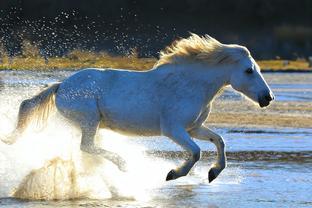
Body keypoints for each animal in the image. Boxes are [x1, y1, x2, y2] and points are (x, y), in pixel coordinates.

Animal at [1, 33, 272, 182]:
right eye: (249, 70)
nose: (267, 98)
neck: (189, 84)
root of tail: (61, 86)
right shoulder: (174, 130)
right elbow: (196, 152)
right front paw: (173, 173)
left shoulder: (193, 128)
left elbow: (219, 141)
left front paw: (213, 173)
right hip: (89, 120)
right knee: (86, 146)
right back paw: (123, 164)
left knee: (86, 149)